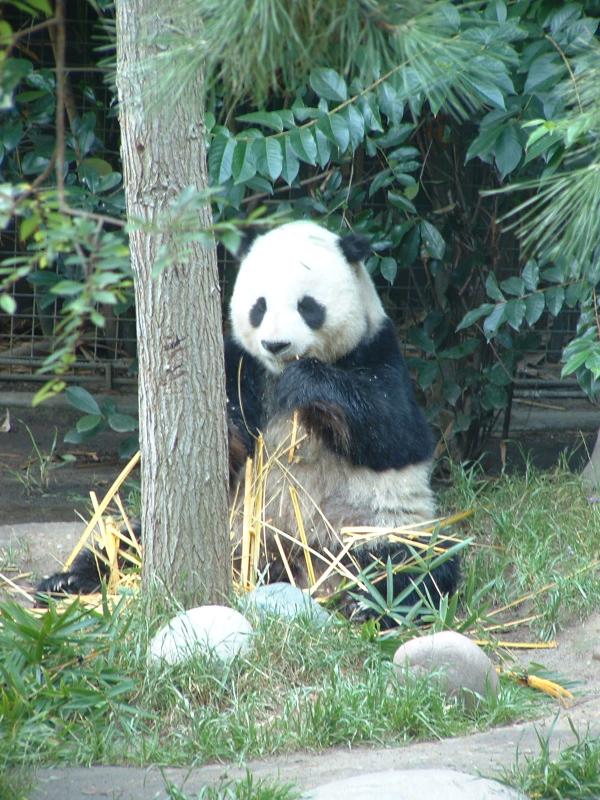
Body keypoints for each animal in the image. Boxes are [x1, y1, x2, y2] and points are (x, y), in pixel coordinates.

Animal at [37, 221, 458, 623]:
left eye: (308, 306)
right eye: (260, 306)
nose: (276, 345)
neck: (276, 371)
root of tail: (296, 567)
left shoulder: (377, 349)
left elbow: (395, 429)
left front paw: (307, 383)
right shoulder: (239, 365)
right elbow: (229, 446)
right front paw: (222, 427)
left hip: (372, 526)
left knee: (419, 563)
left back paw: (371, 605)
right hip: (231, 529)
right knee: (126, 545)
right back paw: (67, 580)